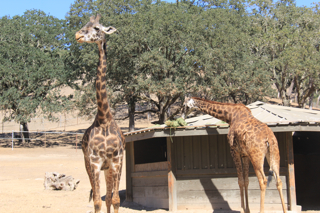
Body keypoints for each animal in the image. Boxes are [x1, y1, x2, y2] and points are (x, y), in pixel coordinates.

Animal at [75, 14, 125, 213]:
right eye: (84, 25)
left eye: (96, 28)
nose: (78, 35)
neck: (104, 119)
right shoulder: (94, 162)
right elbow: (97, 201)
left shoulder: (116, 161)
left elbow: (115, 200)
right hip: (89, 164)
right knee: (100, 196)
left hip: (109, 168)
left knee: (110, 197)